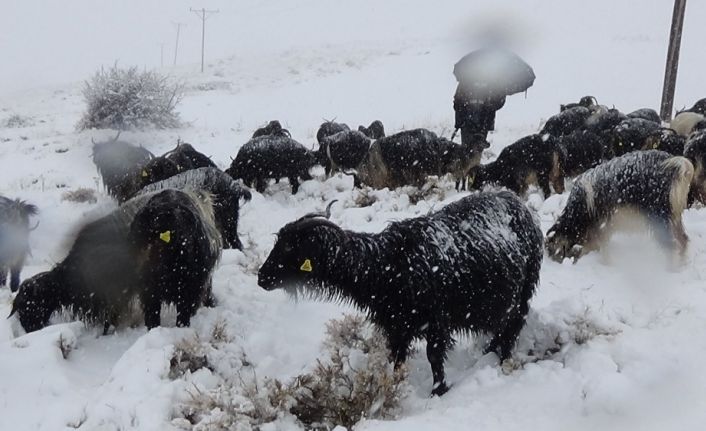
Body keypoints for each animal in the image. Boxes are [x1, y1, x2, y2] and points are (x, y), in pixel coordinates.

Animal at [258, 194, 540, 396]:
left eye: (291, 247)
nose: (261, 277)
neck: (388, 268)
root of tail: (521, 205)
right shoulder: (397, 327)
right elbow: (397, 359)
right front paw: (394, 386)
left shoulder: (436, 323)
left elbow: (434, 358)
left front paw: (438, 392)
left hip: (523, 294)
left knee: (512, 328)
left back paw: (502, 362)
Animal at [540, 150, 692, 262]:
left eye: (552, 248)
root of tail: (680, 167)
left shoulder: (600, 225)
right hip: (673, 217)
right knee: (683, 240)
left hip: (658, 217)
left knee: (671, 245)